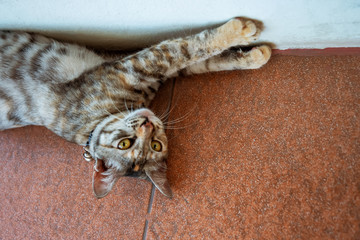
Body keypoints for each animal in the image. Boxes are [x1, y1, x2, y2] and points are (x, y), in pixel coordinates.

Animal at [0, 17, 270, 199]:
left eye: (156, 145)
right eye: (125, 144)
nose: (147, 124)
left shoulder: (136, 65)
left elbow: (202, 62)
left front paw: (254, 56)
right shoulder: (134, 66)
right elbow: (184, 49)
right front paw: (238, 30)